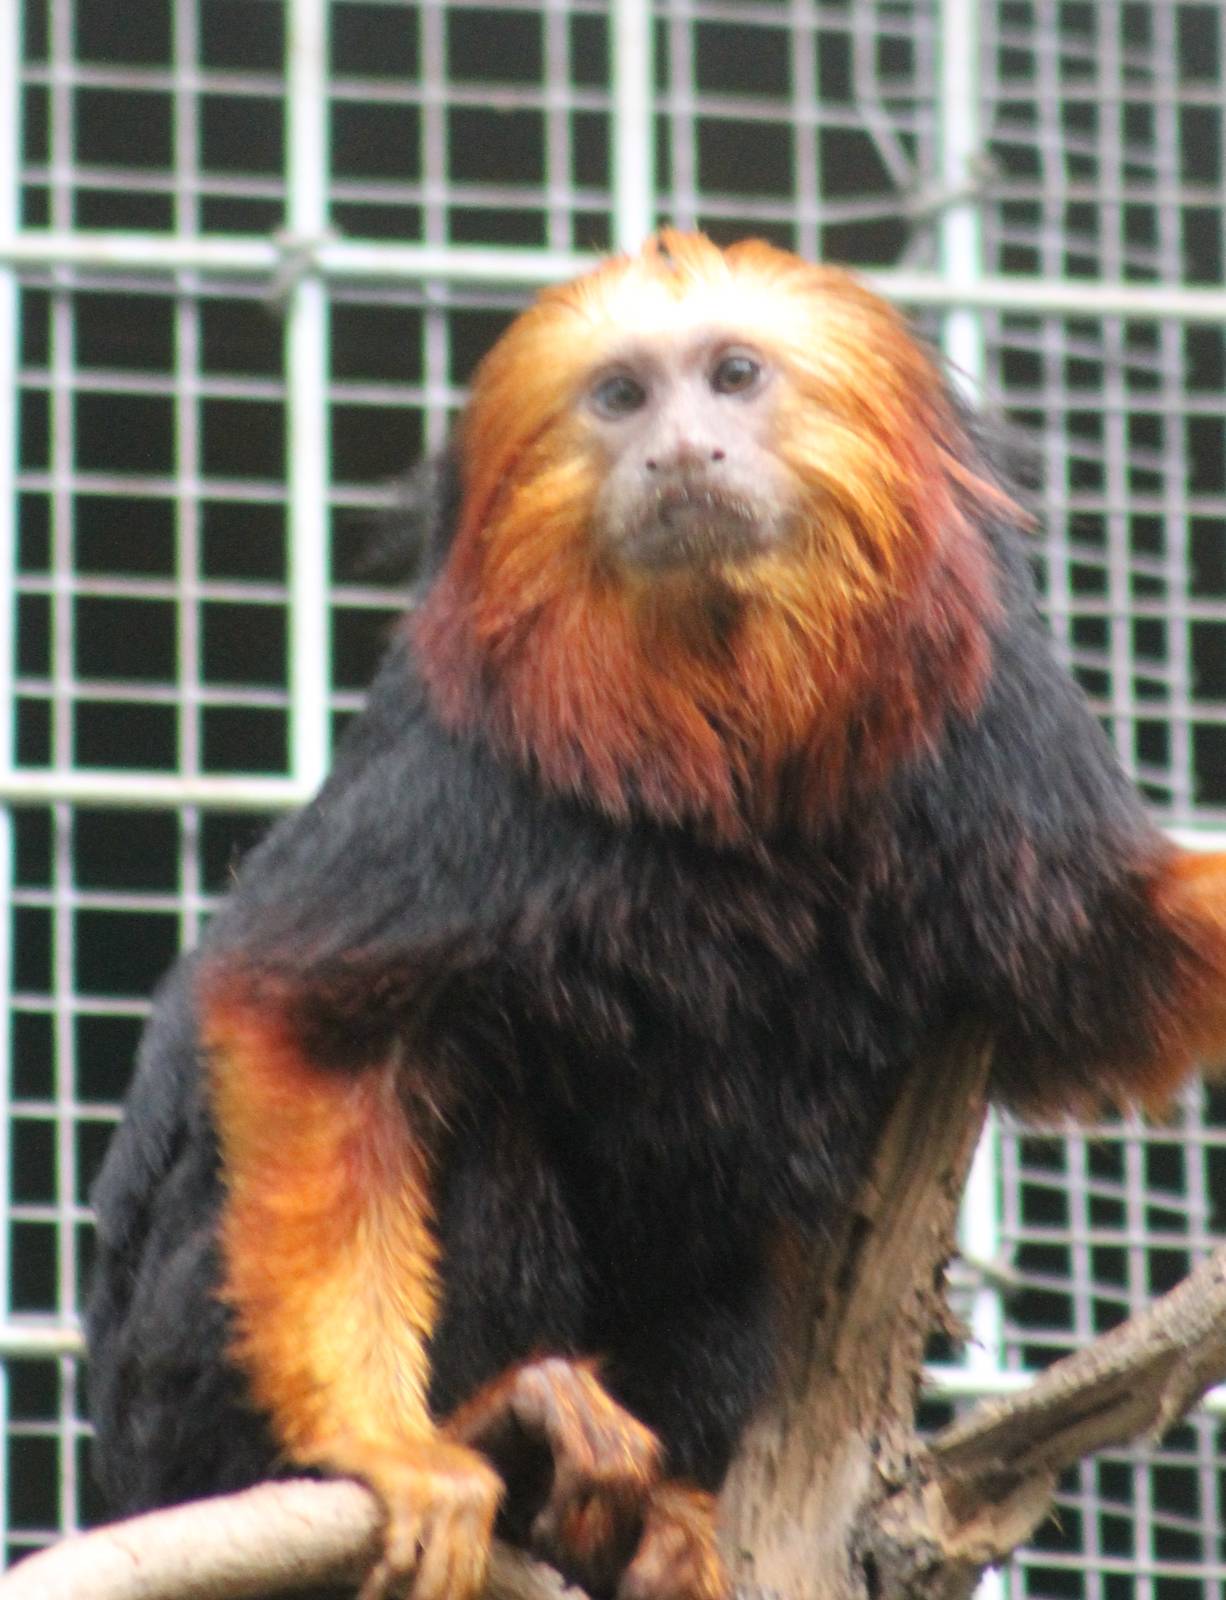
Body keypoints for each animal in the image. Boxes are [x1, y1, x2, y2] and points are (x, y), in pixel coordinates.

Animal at [86, 230, 1226, 1600]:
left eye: (731, 375)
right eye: (621, 396)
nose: (679, 451)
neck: (726, 738)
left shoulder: (990, 737)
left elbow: (1100, 981)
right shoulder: (466, 794)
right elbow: (300, 1018)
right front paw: (385, 1444)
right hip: (172, 1412)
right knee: (462, 1100)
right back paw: (508, 1422)